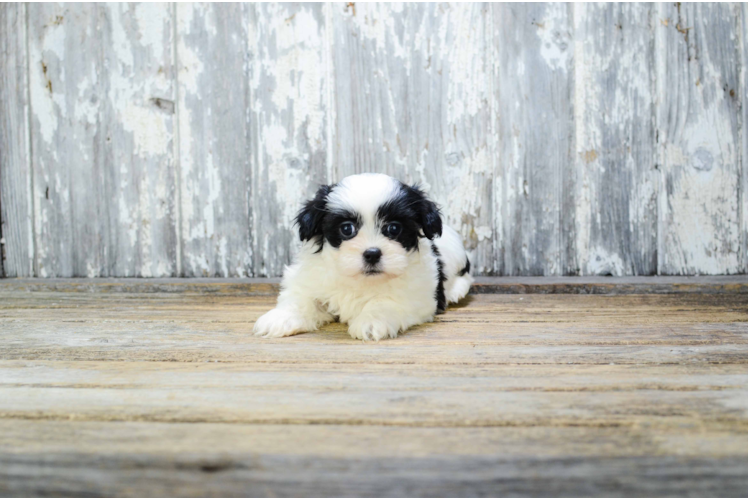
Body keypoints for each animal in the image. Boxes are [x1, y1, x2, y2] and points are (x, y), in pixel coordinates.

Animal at [253, 172, 474, 340]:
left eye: (394, 228)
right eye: (347, 229)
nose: (372, 254)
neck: (361, 279)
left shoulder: (417, 296)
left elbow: (386, 303)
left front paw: (372, 321)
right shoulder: (310, 278)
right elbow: (301, 298)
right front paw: (280, 318)